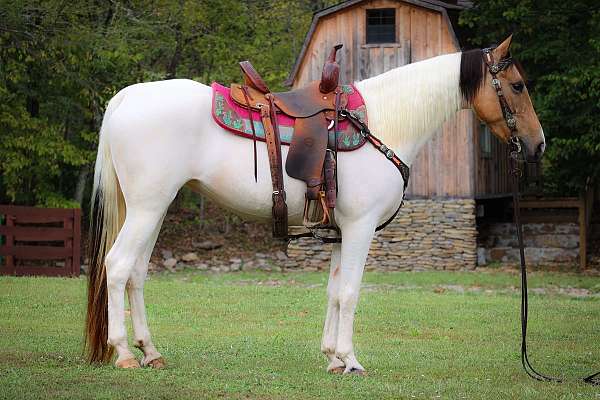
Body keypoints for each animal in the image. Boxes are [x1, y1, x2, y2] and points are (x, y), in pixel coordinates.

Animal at [85, 36, 544, 374]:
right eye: (517, 85)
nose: (538, 145)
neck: (382, 123)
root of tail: (126, 98)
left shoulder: (341, 231)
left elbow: (334, 291)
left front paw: (332, 357)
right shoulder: (360, 228)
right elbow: (352, 291)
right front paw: (352, 360)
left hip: (153, 210)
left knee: (137, 273)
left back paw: (150, 351)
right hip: (147, 208)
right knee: (119, 266)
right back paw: (124, 353)